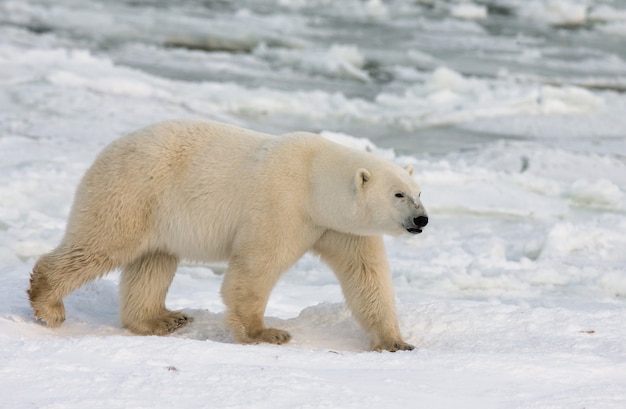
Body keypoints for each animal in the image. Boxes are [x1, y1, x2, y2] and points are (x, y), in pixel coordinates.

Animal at [30, 118, 428, 350]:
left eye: (419, 191)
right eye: (398, 194)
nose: (422, 219)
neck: (315, 181)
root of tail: (108, 149)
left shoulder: (337, 226)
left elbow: (366, 275)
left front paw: (396, 342)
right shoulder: (282, 205)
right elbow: (256, 265)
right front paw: (266, 333)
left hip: (156, 212)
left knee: (153, 262)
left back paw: (162, 318)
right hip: (133, 191)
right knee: (102, 243)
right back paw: (49, 305)